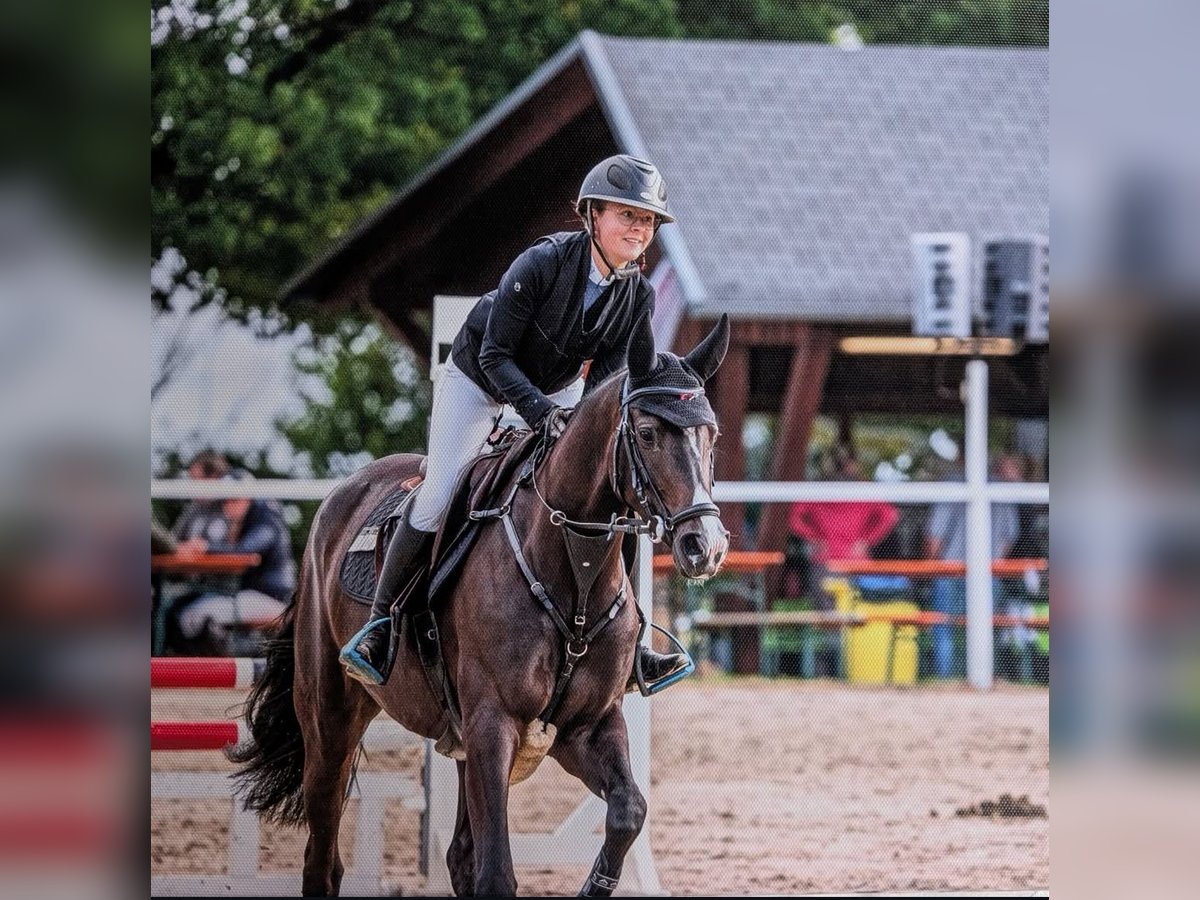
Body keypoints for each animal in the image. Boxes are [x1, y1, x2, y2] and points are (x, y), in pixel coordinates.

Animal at [229, 312, 731, 896]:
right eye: (648, 434)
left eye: (712, 436)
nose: (705, 547)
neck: (573, 574)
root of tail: (339, 497)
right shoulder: (494, 724)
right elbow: (497, 875)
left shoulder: (586, 726)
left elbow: (628, 810)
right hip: (330, 720)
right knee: (322, 854)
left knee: (456, 854)